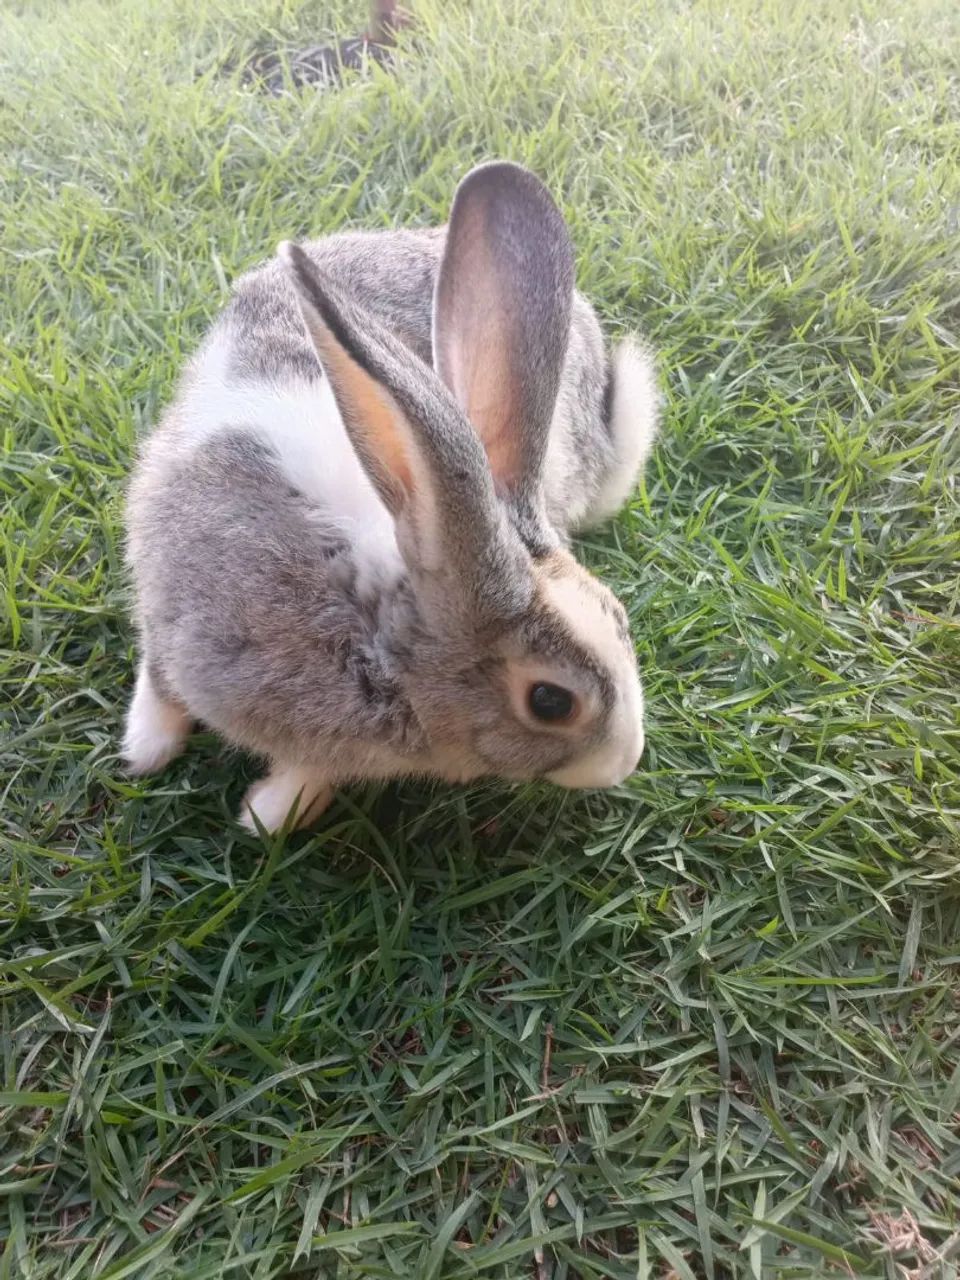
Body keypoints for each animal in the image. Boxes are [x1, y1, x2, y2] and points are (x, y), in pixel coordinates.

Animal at [123, 161, 659, 832]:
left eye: (621, 618)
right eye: (550, 701)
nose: (622, 763)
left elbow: (312, 768)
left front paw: (270, 811)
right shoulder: (168, 605)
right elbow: (160, 679)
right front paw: (146, 749)